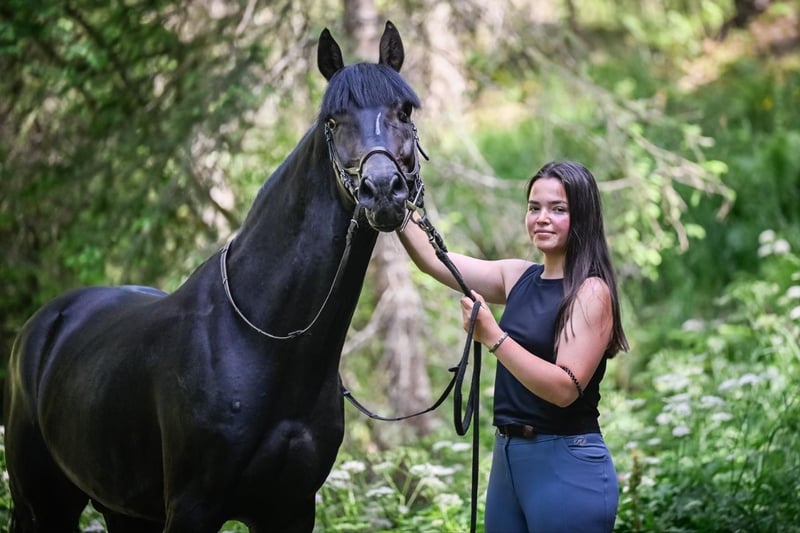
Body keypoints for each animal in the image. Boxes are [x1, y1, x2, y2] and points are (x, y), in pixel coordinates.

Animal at [4, 21, 425, 533]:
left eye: (404, 110)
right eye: (332, 120)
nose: (381, 190)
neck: (266, 339)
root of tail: (43, 325)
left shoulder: (292, 509)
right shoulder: (193, 507)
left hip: (122, 508)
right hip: (41, 505)